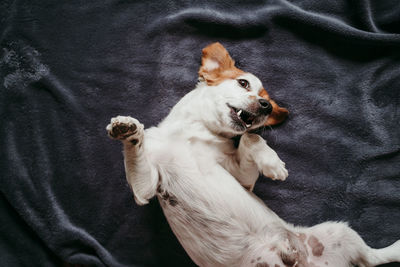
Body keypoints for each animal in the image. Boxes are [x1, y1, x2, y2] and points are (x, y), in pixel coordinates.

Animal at [106, 43, 400, 266]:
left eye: (268, 102)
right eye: (243, 83)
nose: (266, 105)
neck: (192, 136)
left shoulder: (242, 178)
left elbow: (250, 137)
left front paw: (272, 164)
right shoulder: (146, 189)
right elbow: (136, 148)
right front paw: (127, 128)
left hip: (339, 230)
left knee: (372, 258)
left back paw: (396, 247)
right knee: (368, 261)